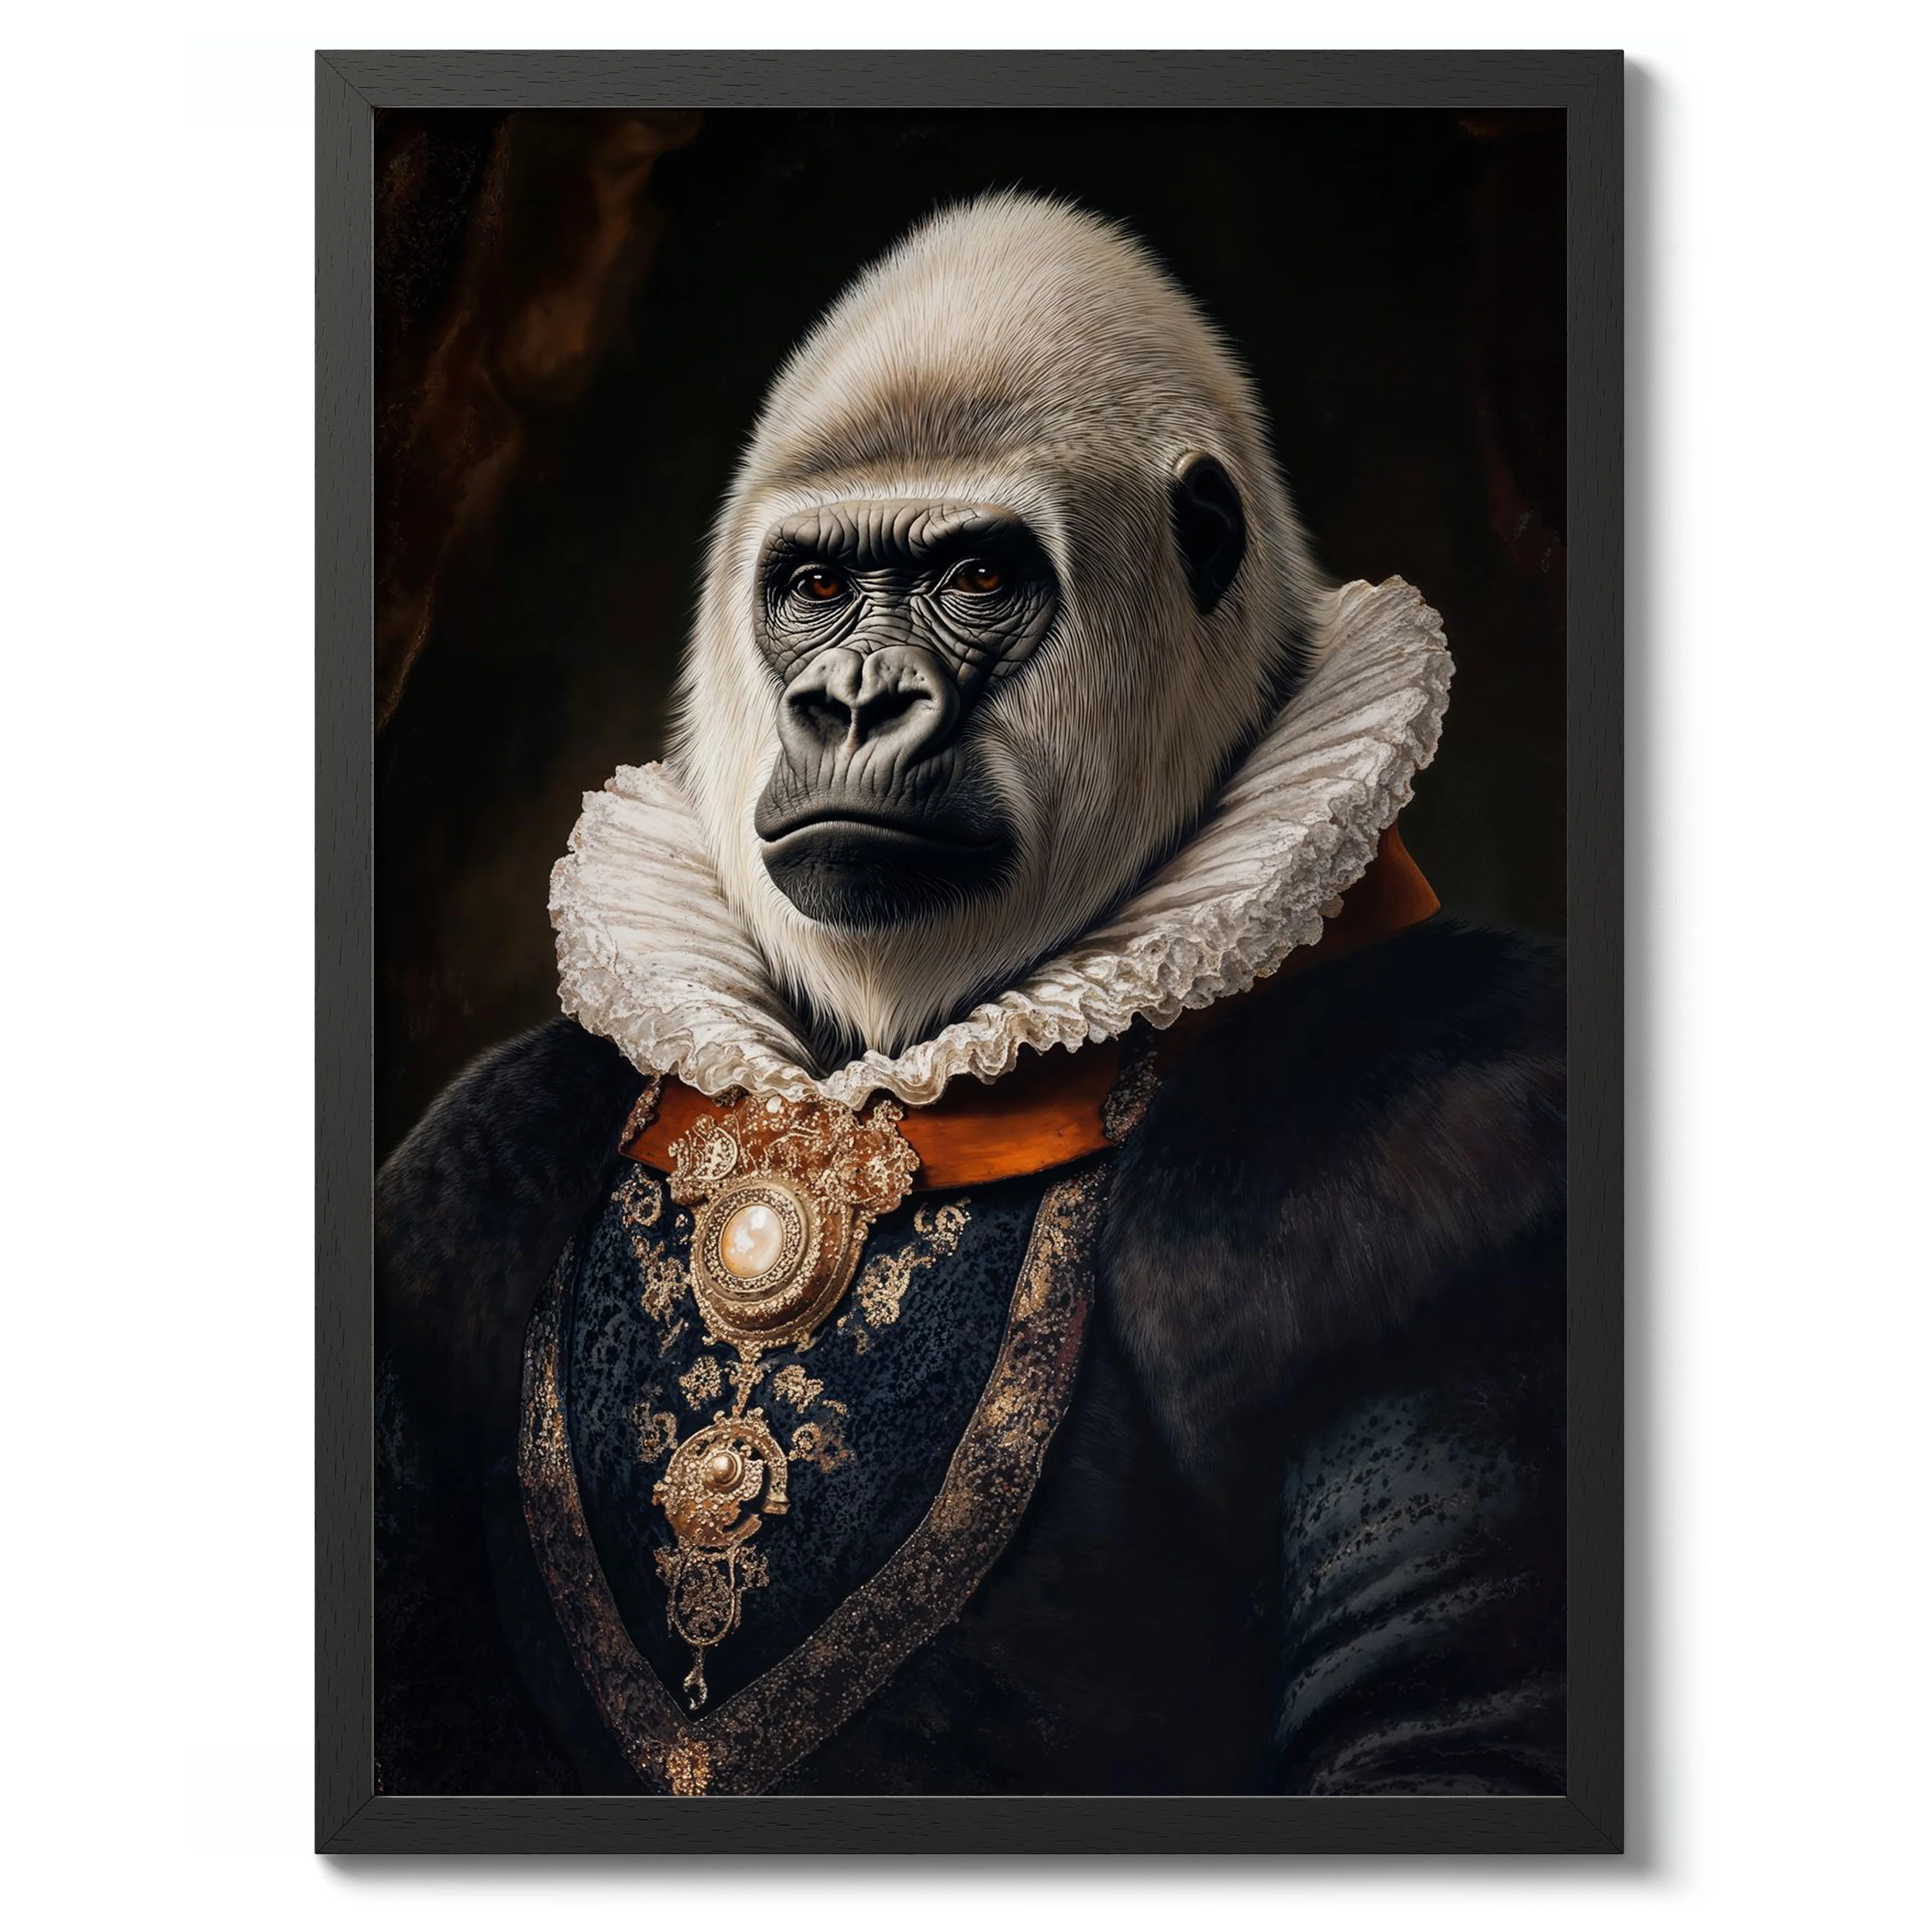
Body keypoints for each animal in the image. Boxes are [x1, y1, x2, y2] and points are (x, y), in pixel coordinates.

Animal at [377, 193, 1567, 1800]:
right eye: (816, 588)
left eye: (977, 579)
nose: (850, 703)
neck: (858, 1088)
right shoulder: (487, 1138)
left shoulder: (1449, 1119)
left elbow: (1444, 1725)